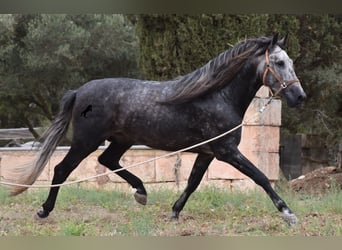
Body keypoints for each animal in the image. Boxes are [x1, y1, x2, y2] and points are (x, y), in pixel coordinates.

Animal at [10, 33, 304, 225]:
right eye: (279, 63)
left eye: (291, 62)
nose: (299, 96)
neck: (218, 96)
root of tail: (79, 91)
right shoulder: (226, 151)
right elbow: (260, 177)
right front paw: (288, 213)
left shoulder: (208, 152)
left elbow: (193, 182)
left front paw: (174, 212)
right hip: (87, 141)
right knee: (62, 169)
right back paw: (44, 211)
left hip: (121, 139)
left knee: (107, 160)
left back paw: (141, 193)